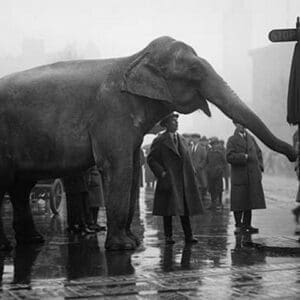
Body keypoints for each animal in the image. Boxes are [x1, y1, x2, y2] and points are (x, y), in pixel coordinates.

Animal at [0, 35, 296, 251]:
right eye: (194, 69)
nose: (294, 154)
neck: (135, 59)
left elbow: (132, 169)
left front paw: (132, 241)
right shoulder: (112, 112)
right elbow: (117, 168)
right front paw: (122, 247)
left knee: (20, 187)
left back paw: (32, 241)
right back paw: (9, 247)